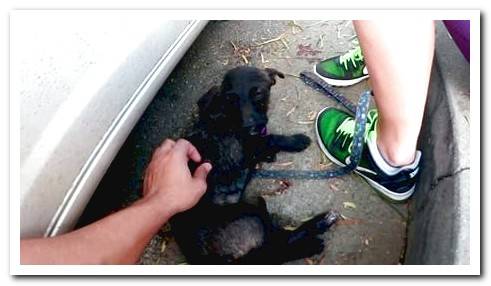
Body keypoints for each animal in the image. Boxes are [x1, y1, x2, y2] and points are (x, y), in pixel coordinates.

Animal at [170, 66, 338, 264]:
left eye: (258, 93)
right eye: (231, 99)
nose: (250, 128)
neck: (224, 115)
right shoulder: (250, 148)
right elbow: (272, 138)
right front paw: (296, 141)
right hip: (251, 214)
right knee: (278, 247)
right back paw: (316, 232)